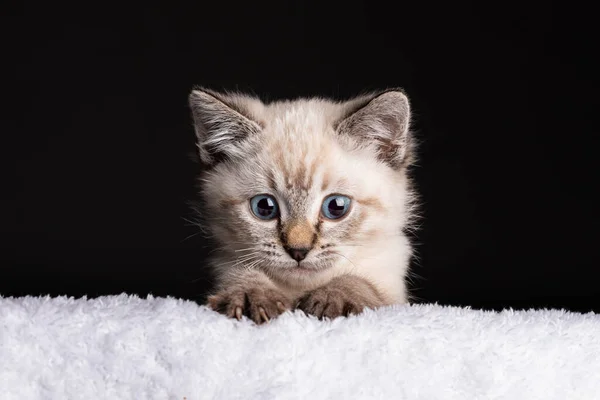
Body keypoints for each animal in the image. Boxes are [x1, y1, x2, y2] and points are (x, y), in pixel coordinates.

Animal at [189, 86, 418, 324]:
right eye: (265, 207)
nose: (298, 251)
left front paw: (333, 299)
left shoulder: (393, 292)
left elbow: (357, 281)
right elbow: (243, 274)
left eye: (336, 207)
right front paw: (251, 295)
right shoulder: (226, 265)